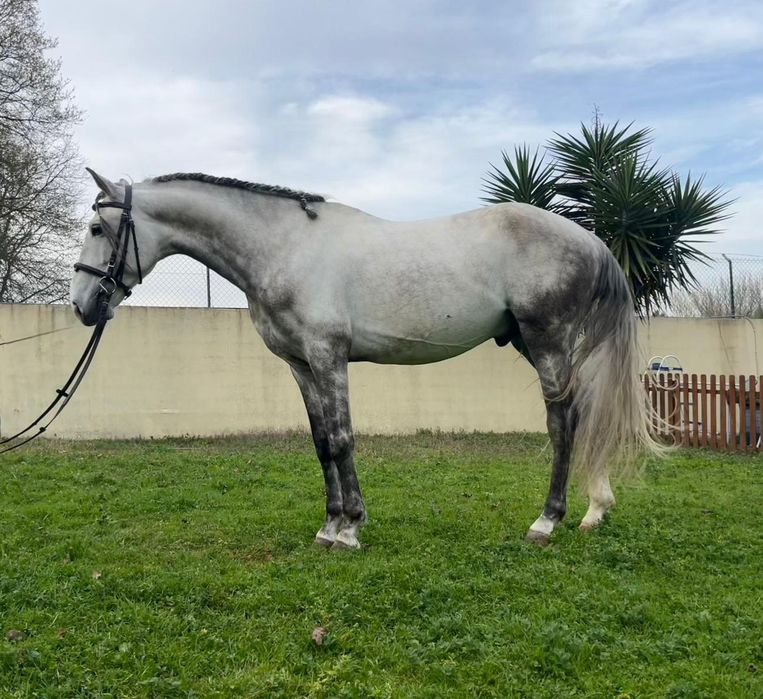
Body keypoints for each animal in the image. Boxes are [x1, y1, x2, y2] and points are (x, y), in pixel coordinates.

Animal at [70, 168, 661, 549]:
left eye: (98, 228)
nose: (82, 304)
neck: (284, 247)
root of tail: (590, 240)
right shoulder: (301, 365)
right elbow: (320, 443)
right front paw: (329, 525)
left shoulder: (328, 356)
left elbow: (340, 438)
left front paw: (350, 528)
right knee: (584, 414)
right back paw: (595, 509)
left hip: (547, 340)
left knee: (564, 423)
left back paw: (547, 521)